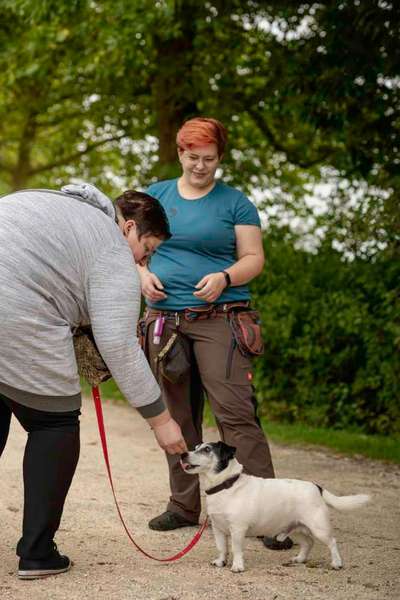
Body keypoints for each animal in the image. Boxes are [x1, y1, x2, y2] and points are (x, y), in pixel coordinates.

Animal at [180, 440, 368, 572]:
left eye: (207, 450)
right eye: (195, 447)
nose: (182, 454)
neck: (226, 485)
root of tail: (316, 486)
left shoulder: (237, 530)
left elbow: (236, 549)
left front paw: (238, 566)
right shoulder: (218, 529)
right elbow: (222, 548)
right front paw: (220, 562)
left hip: (318, 527)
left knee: (332, 542)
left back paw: (337, 563)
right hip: (296, 528)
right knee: (308, 543)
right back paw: (300, 559)